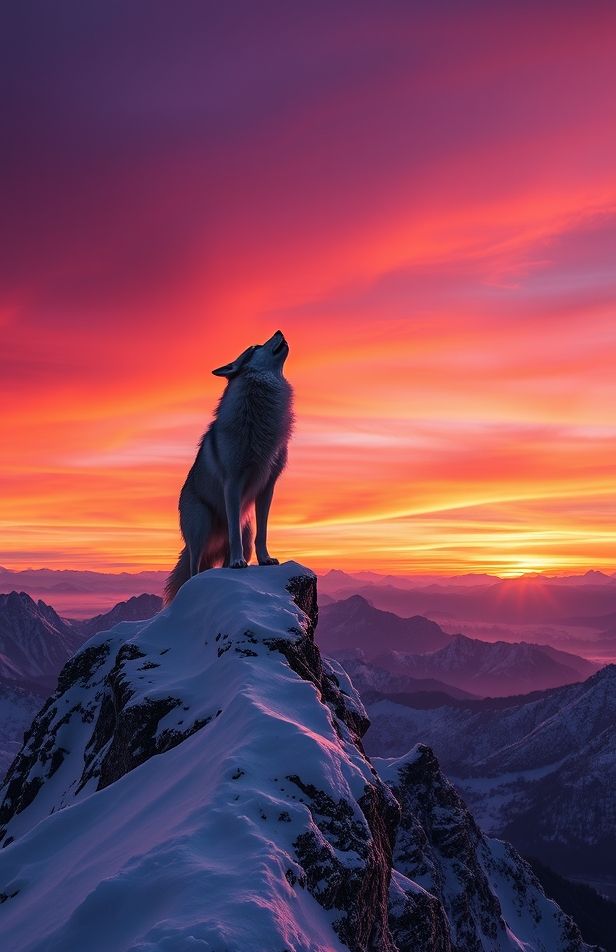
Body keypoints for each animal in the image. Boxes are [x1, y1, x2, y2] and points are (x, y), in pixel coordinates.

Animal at [164, 330, 293, 603]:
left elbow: (263, 532)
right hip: (200, 530)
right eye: (255, 347)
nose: (279, 331)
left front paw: (265, 560)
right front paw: (237, 563)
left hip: (246, 531)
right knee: (194, 566)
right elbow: (233, 531)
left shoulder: (267, 487)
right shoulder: (232, 483)